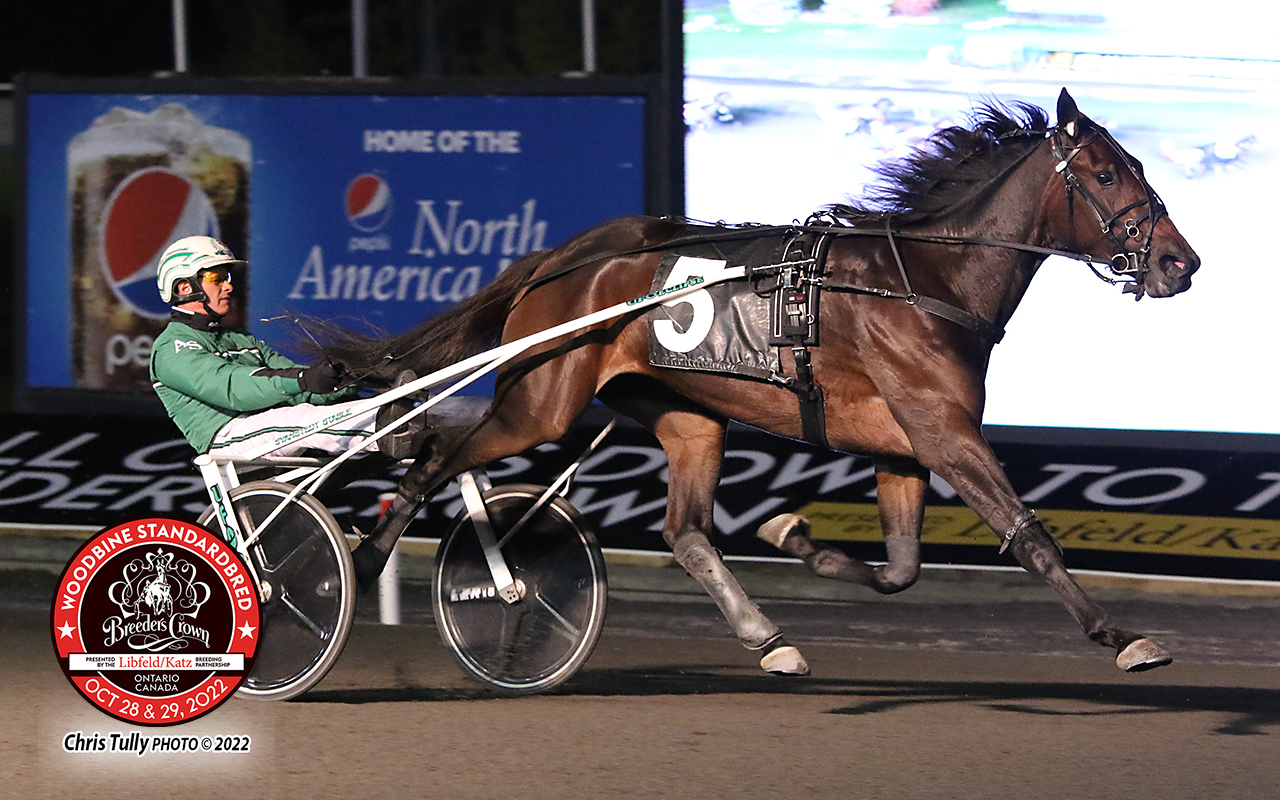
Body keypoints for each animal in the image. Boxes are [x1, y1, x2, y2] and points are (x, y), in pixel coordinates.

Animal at [320, 87, 1198, 675]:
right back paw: (360, 565)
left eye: (1136, 163)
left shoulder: (904, 444)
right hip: (541, 401)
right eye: (1108, 174)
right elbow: (1030, 536)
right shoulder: (945, 432)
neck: (923, 280)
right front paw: (1125, 638)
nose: (1179, 263)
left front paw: (792, 534)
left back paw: (768, 640)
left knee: (686, 532)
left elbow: (903, 568)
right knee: (436, 461)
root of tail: (564, 257)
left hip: (686, 412)